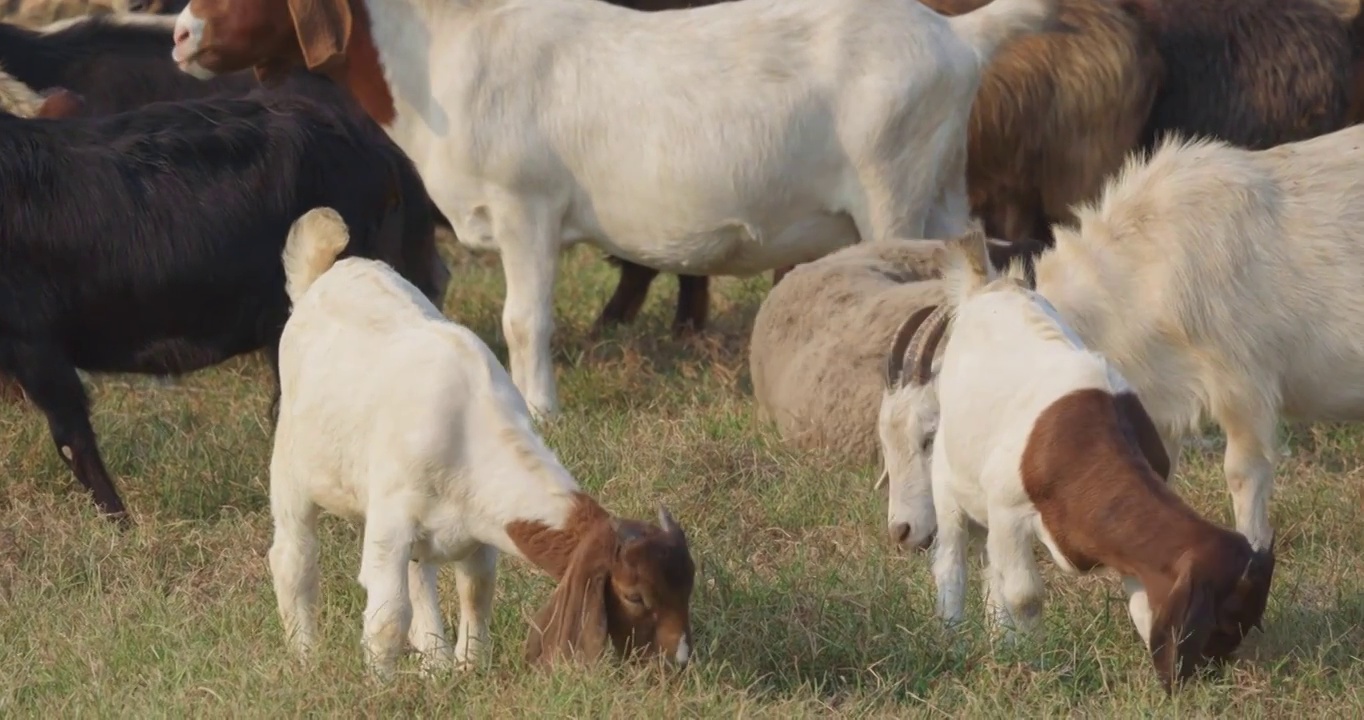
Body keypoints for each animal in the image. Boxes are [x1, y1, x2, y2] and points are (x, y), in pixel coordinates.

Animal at [175, 0, 1058, 420]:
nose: (181, 33)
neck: (441, 55)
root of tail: (959, 36)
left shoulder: (526, 204)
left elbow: (525, 318)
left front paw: (540, 406)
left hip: (892, 187)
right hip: (939, 189)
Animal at [268, 207, 692, 676]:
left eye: (687, 591)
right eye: (635, 595)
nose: (679, 661)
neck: (466, 430)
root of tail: (323, 273)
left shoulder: (480, 532)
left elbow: (476, 591)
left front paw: (468, 667)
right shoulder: (390, 522)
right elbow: (388, 616)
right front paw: (381, 682)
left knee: (421, 576)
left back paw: (434, 660)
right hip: (290, 468)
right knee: (294, 558)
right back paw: (305, 655)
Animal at [878, 229, 1271, 692]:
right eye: (1225, 619)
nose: (1202, 674)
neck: (1079, 451)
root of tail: (986, 288)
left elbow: (1141, 606)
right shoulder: (1008, 510)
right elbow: (1024, 595)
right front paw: (1032, 663)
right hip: (949, 485)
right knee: (952, 564)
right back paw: (953, 640)